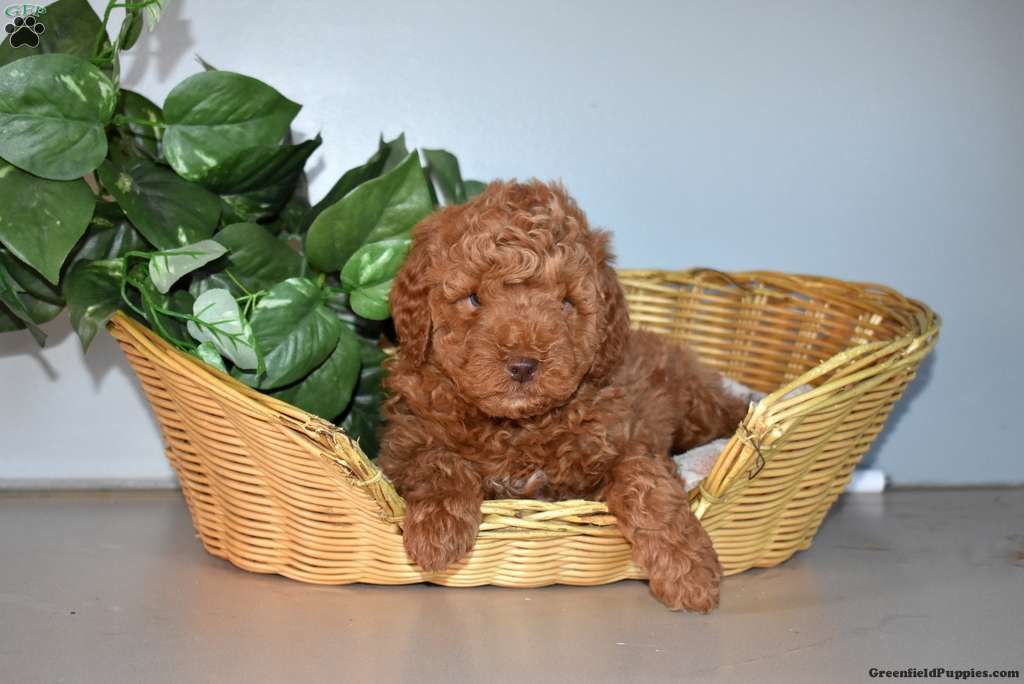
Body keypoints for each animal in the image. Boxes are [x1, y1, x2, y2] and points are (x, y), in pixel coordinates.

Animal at [378, 181, 749, 611]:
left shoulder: (624, 440)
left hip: (696, 405)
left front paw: (689, 572)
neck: (516, 428)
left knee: (727, 409)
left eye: (566, 302)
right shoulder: (403, 443)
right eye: (473, 298)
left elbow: (645, 484)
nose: (523, 365)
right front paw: (437, 534)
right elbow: (437, 461)